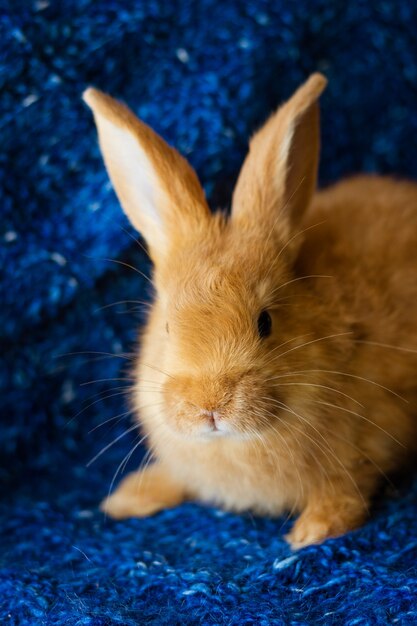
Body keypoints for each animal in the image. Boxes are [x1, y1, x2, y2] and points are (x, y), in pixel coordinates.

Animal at [83, 73, 416, 544]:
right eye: (166, 328)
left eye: (266, 321)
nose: (210, 407)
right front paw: (128, 499)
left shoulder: (367, 446)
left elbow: (345, 488)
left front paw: (310, 532)